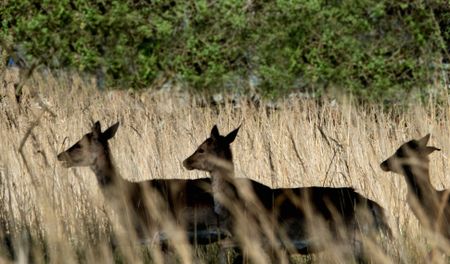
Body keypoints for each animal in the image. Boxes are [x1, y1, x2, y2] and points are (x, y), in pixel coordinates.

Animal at [183, 125, 390, 260]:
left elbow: (223, 246)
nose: (185, 161)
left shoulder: (260, 239)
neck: (233, 205)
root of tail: (375, 207)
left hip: (349, 239)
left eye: (201, 149)